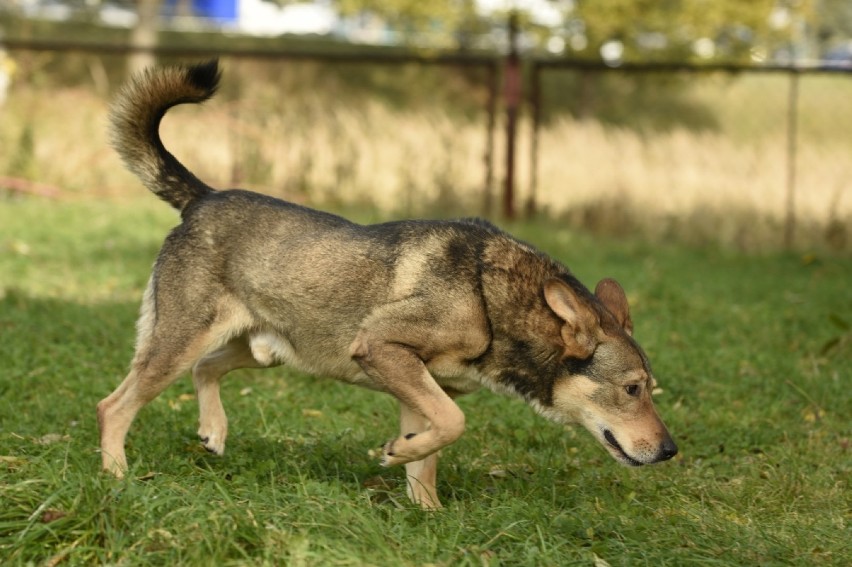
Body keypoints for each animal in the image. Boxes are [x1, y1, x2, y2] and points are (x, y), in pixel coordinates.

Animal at [96, 60, 676, 508]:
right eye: (631, 389)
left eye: (651, 391)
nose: (671, 451)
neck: (490, 298)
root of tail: (203, 197)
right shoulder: (384, 349)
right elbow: (454, 423)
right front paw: (399, 453)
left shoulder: (418, 385)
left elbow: (433, 452)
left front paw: (428, 513)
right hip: (179, 343)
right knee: (114, 406)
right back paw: (116, 477)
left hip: (262, 350)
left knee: (205, 369)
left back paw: (213, 431)